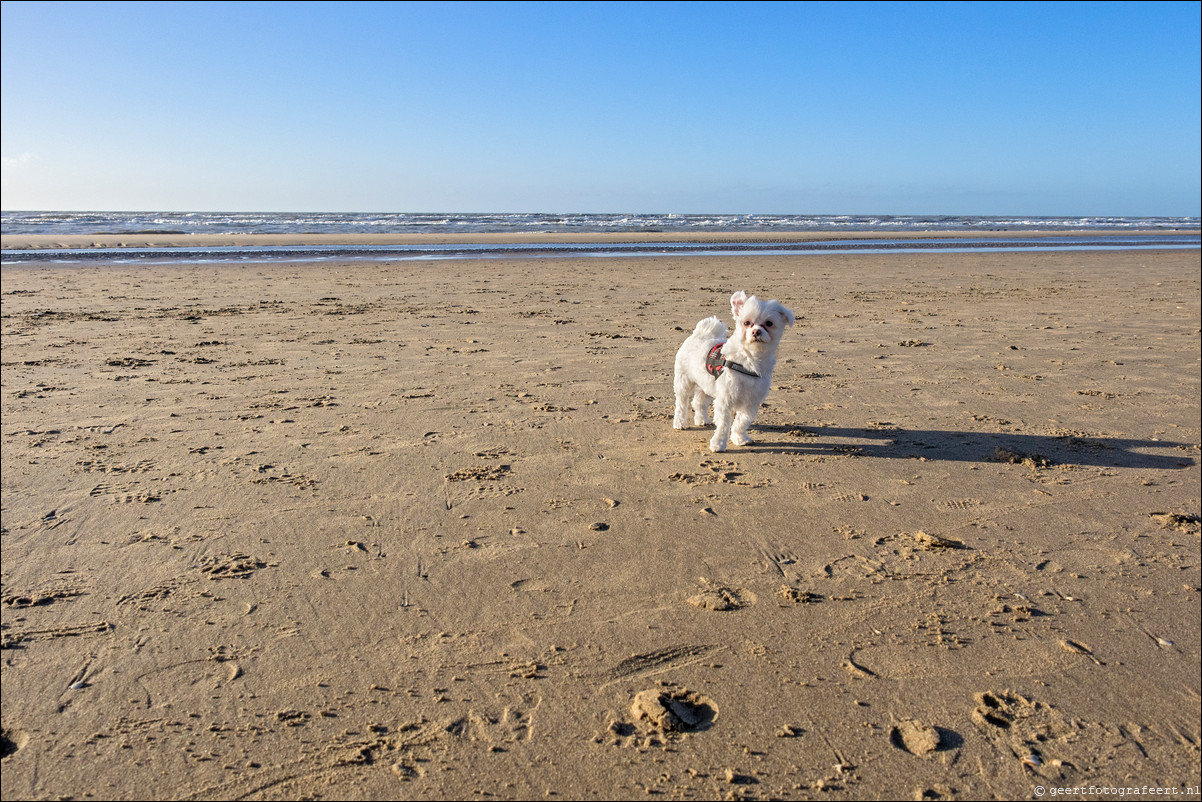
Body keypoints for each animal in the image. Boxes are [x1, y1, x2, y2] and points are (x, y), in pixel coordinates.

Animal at [673, 289, 793, 454]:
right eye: (746, 322)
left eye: (769, 323)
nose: (756, 331)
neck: (749, 361)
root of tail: (699, 334)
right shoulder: (725, 399)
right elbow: (724, 425)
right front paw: (718, 444)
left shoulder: (751, 402)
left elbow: (741, 422)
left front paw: (739, 438)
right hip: (683, 382)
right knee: (681, 403)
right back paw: (679, 423)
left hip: (707, 385)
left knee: (698, 402)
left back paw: (702, 420)